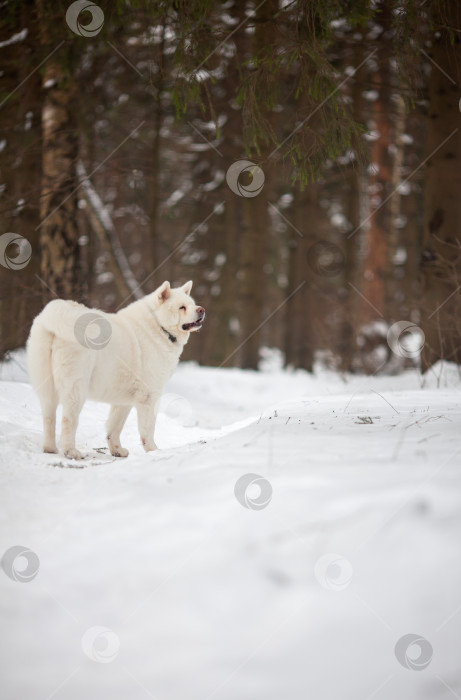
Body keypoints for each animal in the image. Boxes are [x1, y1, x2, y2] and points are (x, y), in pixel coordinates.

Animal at [26, 280, 203, 460]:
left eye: (192, 304)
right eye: (182, 307)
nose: (201, 310)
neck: (158, 326)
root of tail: (53, 316)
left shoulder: (123, 400)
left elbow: (114, 427)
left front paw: (117, 451)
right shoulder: (150, 395)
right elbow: (147, 428)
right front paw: (153, 451)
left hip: (46, 387)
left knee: (48, 418)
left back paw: (50, 449)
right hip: (76, 388)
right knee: (68, 421)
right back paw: (72, 452)